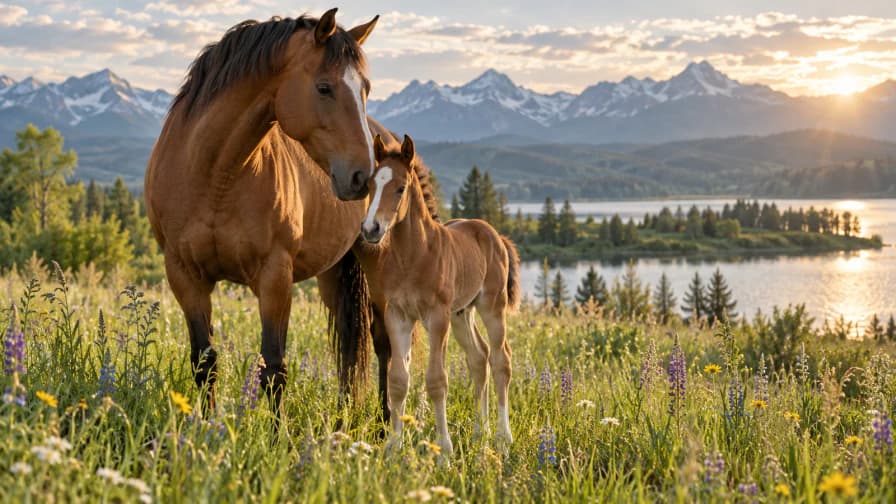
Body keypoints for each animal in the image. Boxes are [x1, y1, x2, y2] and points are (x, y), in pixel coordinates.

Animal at [144, 9, 381, 413]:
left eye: (364, 89)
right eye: (324, 88)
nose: (363, 177)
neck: (215, 175)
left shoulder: (274, 276)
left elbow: (273, 368)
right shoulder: (184, 274)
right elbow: (205, 361)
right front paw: (203, 424)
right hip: (333, 275)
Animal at [357, 134, 521, 455]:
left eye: (400, 187)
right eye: (370, 185)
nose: (371, 228)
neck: (414, 256)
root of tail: (494, 234)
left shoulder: (437, 317)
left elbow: (436, 381)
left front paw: (444, 449)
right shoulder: (398, 315)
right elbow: (398, 380)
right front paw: (393, 447)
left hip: (491, 307)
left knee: (501, 360)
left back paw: (502, 437)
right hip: (461, 313)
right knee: (478, 358)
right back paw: (479, 433)